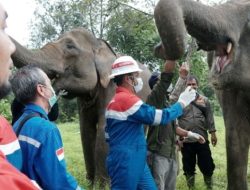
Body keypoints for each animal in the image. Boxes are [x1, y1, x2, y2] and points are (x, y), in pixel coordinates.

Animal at [10, 27, 151, 187]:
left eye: (70, 46)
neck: (100, 44)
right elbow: (85, 130)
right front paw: (90, 183)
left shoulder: (111, 87)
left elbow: (104, 128)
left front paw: (101, 186)